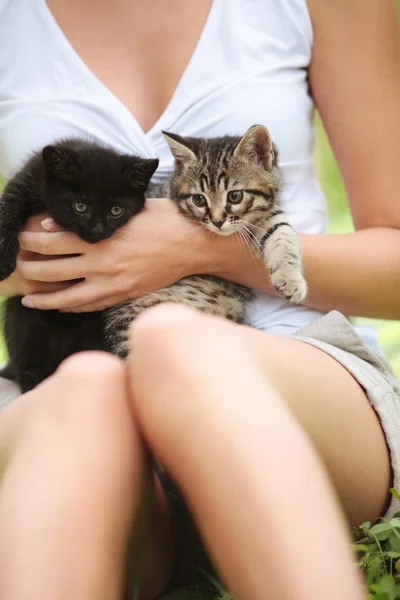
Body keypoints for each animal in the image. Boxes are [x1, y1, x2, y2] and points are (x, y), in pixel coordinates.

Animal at [0, 138, 159, 392]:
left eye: (116, 210)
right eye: (80, 206)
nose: (97, 230)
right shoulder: (25, 180)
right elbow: (8, 207)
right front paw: (4, 260)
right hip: (20, 314)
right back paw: (33, 379)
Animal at [104, 122, 306, 356]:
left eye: (235, 196)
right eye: (199, 199)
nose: (217, 221)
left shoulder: (268, 218)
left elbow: (283, 234)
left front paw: (290, 279)